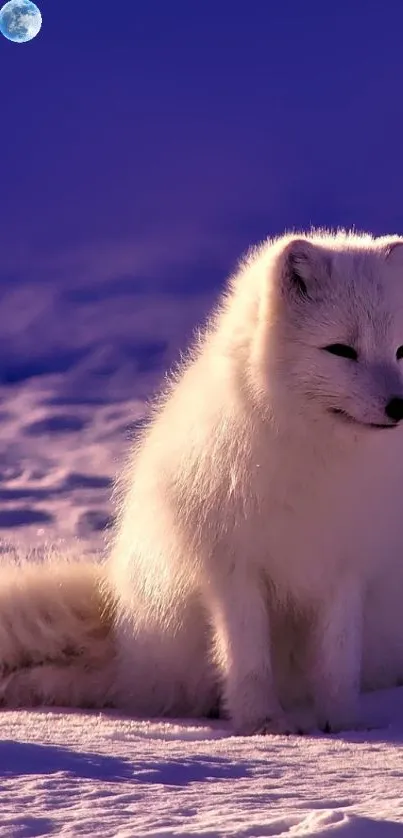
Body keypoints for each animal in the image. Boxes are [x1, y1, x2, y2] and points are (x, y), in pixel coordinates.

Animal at [2, 230, 403, 736]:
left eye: (401, 351)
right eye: (341, 350)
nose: (399, 406)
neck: (317, 459)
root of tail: (124, 641)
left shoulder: (346, 569)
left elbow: (338, 660)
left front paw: (344, 725)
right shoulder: (232, 568)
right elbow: (247, 658)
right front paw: (263, 723)